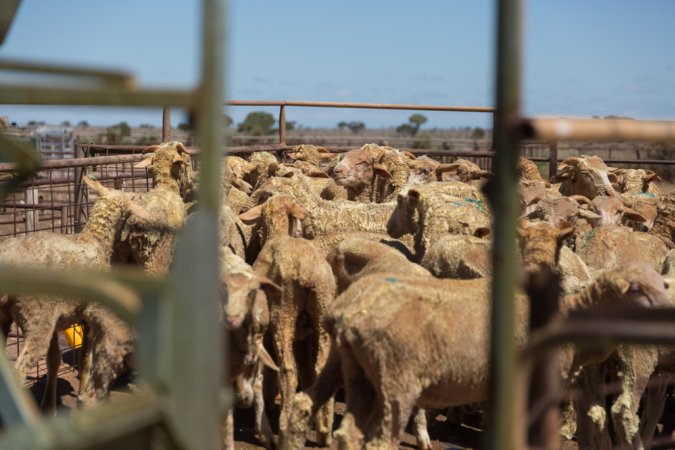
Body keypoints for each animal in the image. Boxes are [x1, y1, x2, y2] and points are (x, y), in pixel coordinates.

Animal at [0, 177, 149, 412]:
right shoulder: (88, 315)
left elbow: (54, 360)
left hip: (7, 317)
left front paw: (50, 406)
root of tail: (9, 259)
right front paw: (81, 396)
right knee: (18, 372)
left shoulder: (56, 321)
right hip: (36, 319)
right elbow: (85, 357)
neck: (94, 241)